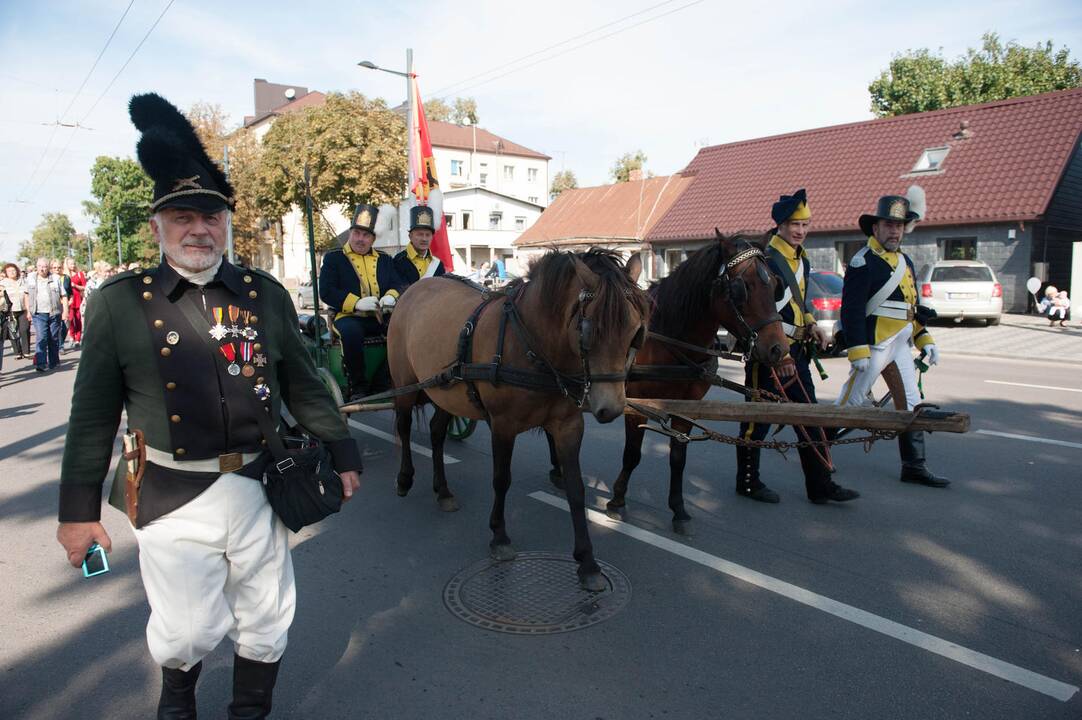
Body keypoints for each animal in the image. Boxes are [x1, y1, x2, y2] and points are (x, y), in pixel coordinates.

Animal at [389, 250, 649, 588]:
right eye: (589, 331)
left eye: (636, 332)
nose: (611, 409)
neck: (534, 346)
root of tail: (414, 288)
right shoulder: (503, 426)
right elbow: (502, 479)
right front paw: (499, 536)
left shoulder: (568, 426)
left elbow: (576, 489)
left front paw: (588, 562)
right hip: (406, 386)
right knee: (404, 427)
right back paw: (404, 478)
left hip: (444, 390)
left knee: (436, 433)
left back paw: (443, 491)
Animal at [549, 230, 787, 532]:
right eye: (741, 288)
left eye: (775, 285)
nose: (779, 349)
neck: (671, 339)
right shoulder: (636, 405)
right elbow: (632, 454)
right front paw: (617, 500)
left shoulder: (687, 407)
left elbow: (678, 458)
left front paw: (679, 510)